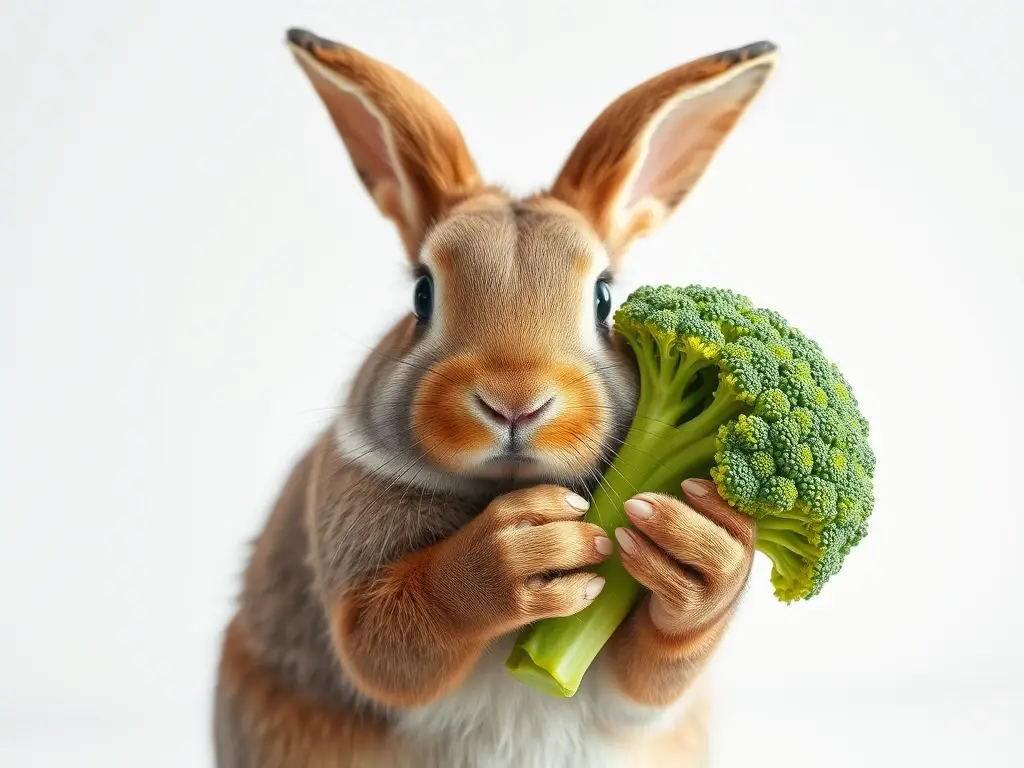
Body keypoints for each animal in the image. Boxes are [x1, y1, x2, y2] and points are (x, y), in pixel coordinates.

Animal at [214, 27, 776, 768]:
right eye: (422, 294)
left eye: (605, 298)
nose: (515, 402)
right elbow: (385, 639)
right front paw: (522, 550)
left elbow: (657, 668)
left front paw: (699, 550)